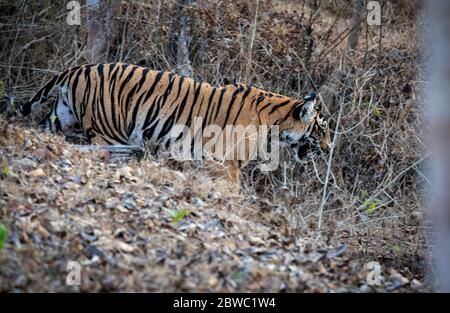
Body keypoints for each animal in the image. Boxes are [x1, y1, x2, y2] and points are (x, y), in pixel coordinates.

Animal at [16, 63, 330, 184]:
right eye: (323, 129)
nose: (329, 149)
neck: (277, 124)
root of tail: (78, 68)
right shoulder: (228, 163)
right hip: (108, 131)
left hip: (61, 118)